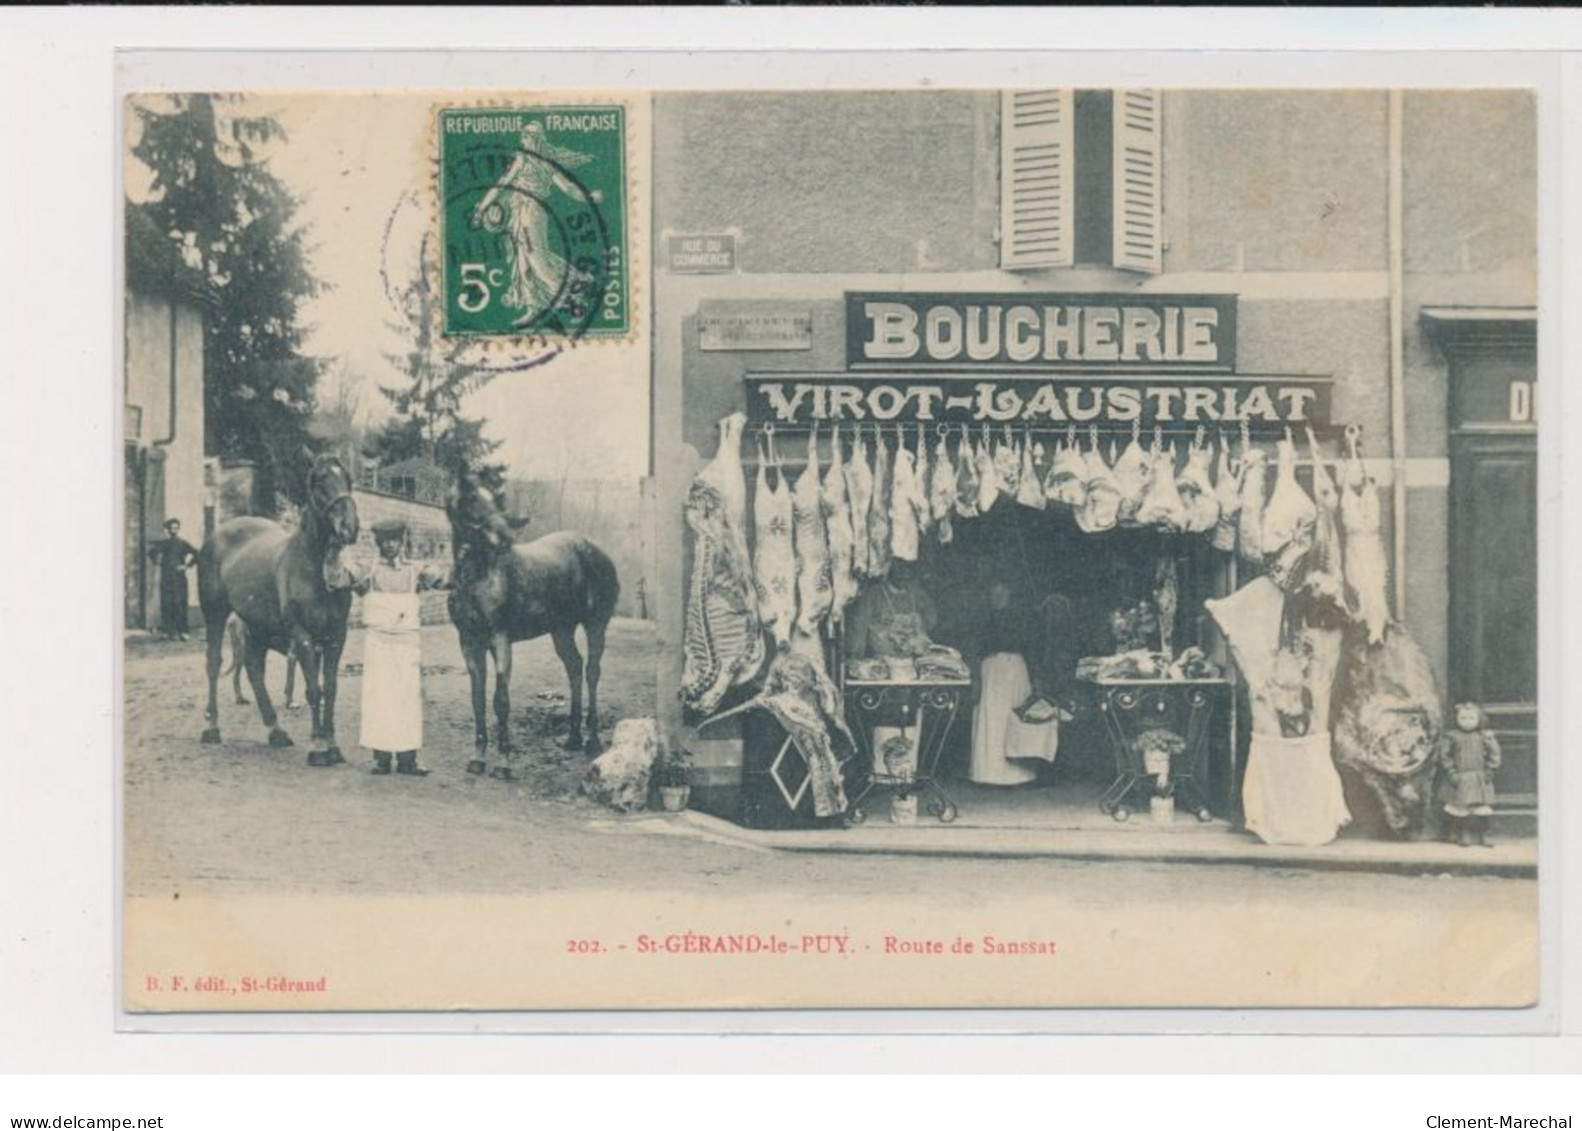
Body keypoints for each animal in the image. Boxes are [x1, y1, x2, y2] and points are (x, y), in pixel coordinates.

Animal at [196, 455, 360, 765]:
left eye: (347, 478)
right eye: (318, 480)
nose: (349, 527)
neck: (312, 566)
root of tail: (217, 534)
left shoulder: (336, 636)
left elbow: (331, 689)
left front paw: (332, 746)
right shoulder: (303, 636)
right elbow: (313, 690)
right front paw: (318, 747)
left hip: (256, 626)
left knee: (254, 670)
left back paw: (276, 731)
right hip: (215, 613)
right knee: (213, 664)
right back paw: (211, 729)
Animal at [449, 468, 620, 778]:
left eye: (496, 497)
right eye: (470, 496)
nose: (505, 539)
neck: (478, 578)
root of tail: (601, 554)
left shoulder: (501, 639)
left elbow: (501, 700)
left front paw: (504, 763)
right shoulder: (468, 641)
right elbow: (477, 698)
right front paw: (478, 759)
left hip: (596, 625)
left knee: (592, 671)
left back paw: (592, 740)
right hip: (561, 630)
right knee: (574, 667)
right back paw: (573, 737)